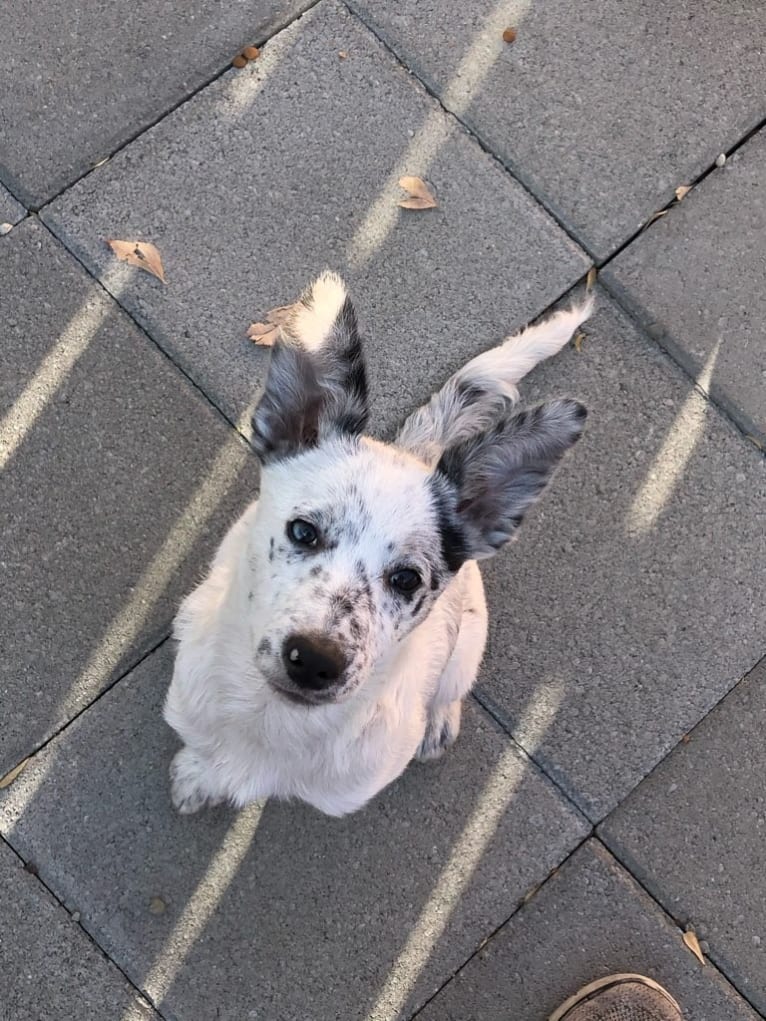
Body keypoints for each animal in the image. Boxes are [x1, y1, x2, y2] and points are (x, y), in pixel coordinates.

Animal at [165, 271, 592, 812]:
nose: (316, 661)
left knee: (451, 684)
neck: (271, 723)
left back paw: (439, 721)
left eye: (407, 579)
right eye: (302, 531)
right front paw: (198, 776)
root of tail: (418, 452)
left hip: (469, 640)